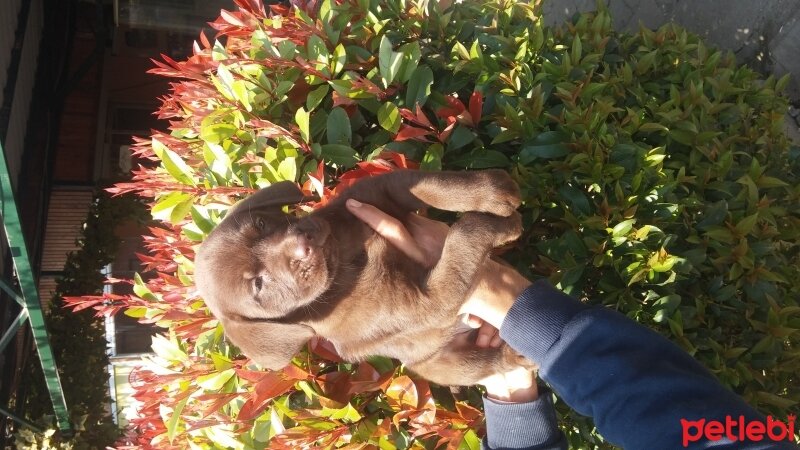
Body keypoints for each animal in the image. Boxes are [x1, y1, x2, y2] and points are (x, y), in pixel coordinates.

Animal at [193, 169, 532, 384]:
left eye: (262, 224)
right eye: (258, 285)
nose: (303, 246)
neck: (343, 258)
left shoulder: (371, 195)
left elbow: (430, 184)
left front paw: (492, 190)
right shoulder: (424, 301)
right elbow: (463, 234)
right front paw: (504, 225)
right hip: (440, 365)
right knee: (479, 365)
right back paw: (515, 357)